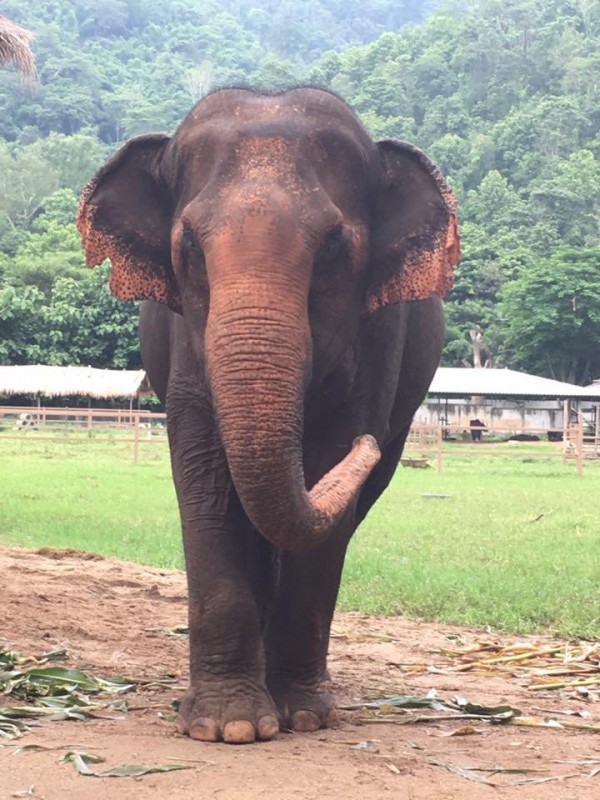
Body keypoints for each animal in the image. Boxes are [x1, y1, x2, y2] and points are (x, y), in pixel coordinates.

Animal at [77, 87, 460, 745]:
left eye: (333, 246)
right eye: (188, 246)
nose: (369, 445)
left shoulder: (379, 339)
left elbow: (327, 466)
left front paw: (302, 715)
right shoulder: (186, 338)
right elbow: (205, 470)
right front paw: (227, 726)